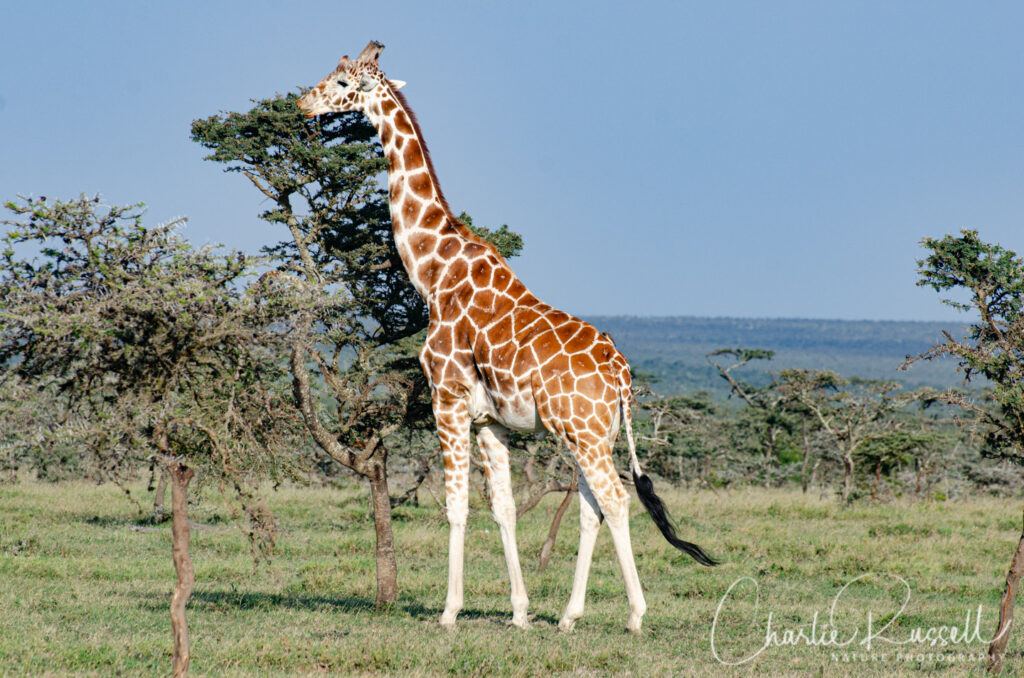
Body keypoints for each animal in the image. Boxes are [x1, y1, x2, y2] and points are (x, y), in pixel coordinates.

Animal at [296, 41, 712, 639]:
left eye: (344, 83)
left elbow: (456, 506)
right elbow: (505, 508)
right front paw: (519, 612)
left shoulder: (446, 398)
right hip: (596, 434)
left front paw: (449, 610)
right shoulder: (489, 418)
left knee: (614, 499)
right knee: (592, 506)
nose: (303, 103)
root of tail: (623, 375)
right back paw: (568, 615)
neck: (431, 272)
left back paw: (635, 614)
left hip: (582, 433)